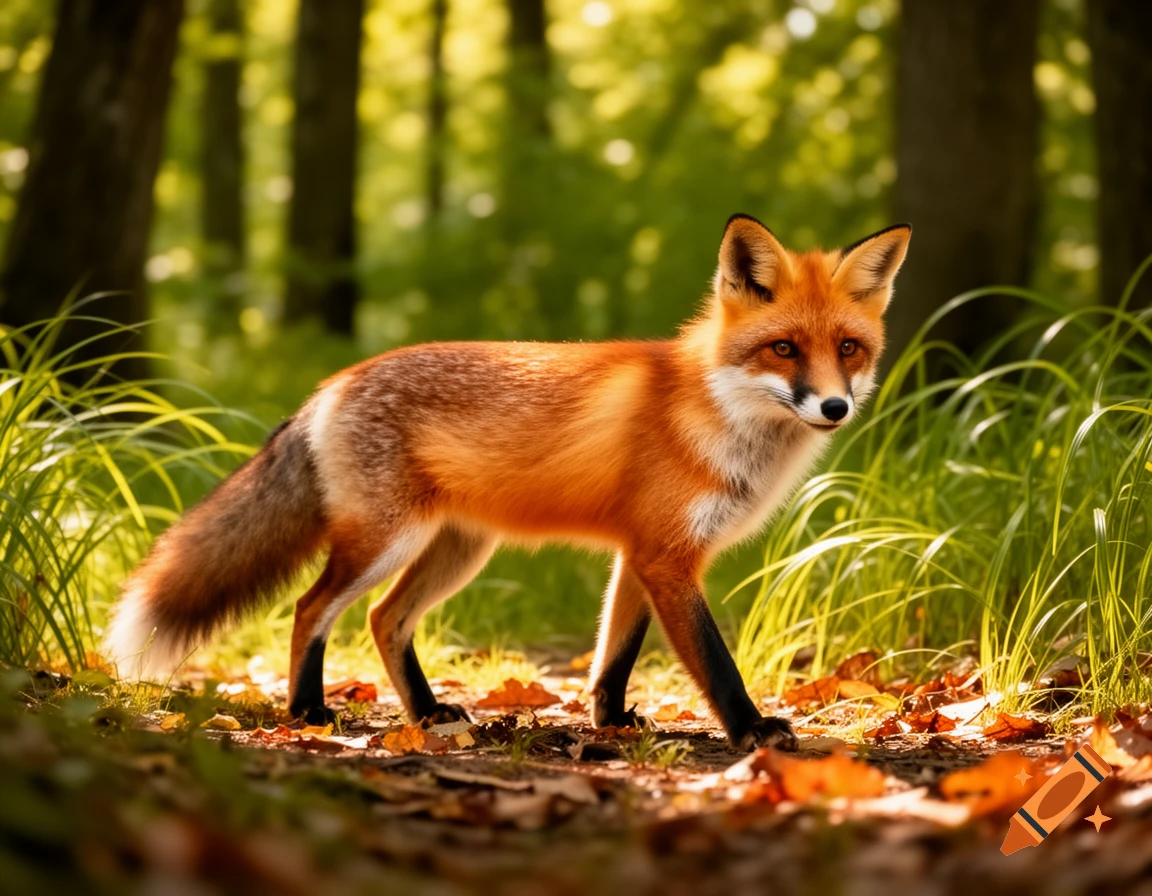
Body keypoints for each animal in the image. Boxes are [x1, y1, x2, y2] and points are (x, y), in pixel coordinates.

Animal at [107, 214, 910, 751]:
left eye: (848, 348)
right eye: (784, 349)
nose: (834, 407)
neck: (715, 413)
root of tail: (329, 386)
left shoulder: (644, 554)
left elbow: (614, 656)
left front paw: (612, 722)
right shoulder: (667, 556)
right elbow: (714, 661)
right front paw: (752, 730)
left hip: (457, 550)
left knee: (384, 619)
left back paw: (427, 715)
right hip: (387, 542)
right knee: (311, 609)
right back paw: (308, 714)